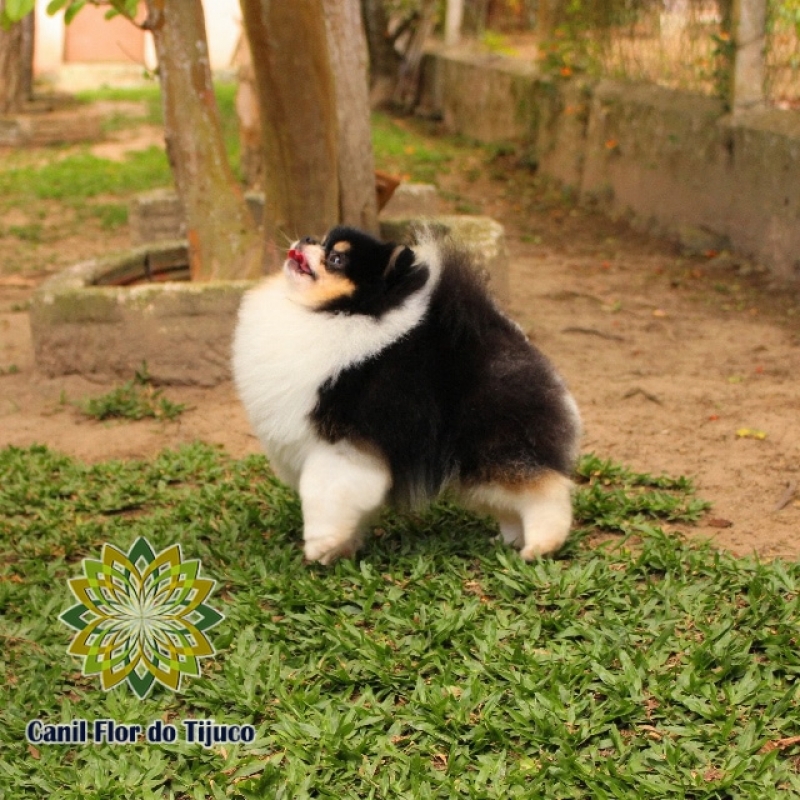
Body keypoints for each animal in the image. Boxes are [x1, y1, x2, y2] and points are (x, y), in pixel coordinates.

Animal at [231, 223, 580, 564]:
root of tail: (508, 336)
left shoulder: (342, 446)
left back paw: (541, 546)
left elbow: (322, 493)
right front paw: (342, 549)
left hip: (493, 445)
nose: (306, 238)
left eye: (336, 260)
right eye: (322, 239)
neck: (336, 313)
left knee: (544, 491)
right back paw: (509, 540)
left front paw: (320, 545)